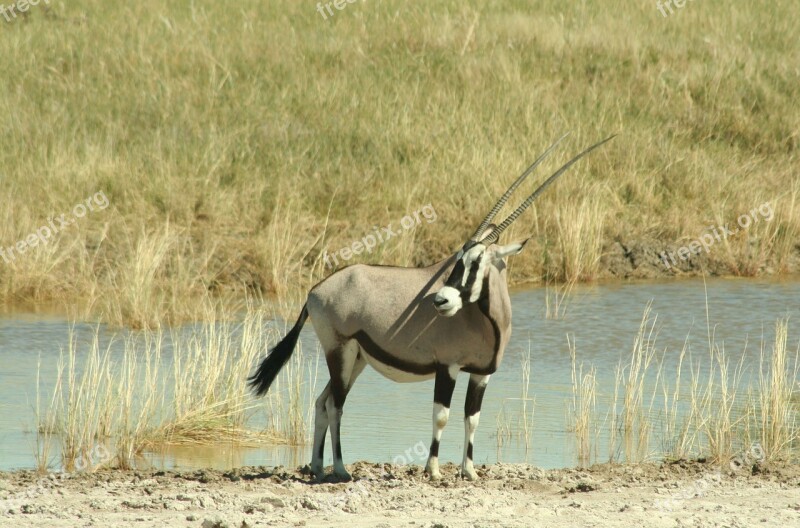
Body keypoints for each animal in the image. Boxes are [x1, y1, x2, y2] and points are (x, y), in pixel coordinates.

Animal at [248, 134, 612, 480]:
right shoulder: (447, 367)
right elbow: (441, 416)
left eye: (477, 261)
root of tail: (315, 291)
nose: (441, 300)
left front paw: (469, 471)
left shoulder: (481, 374)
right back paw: (339, 468)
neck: (486, 321)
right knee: (336, 405)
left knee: (323, 403)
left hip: (357, 359)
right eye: (457, 258)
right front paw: (433, 470)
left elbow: (472, 418)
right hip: (340, 351)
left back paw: (317, 466)